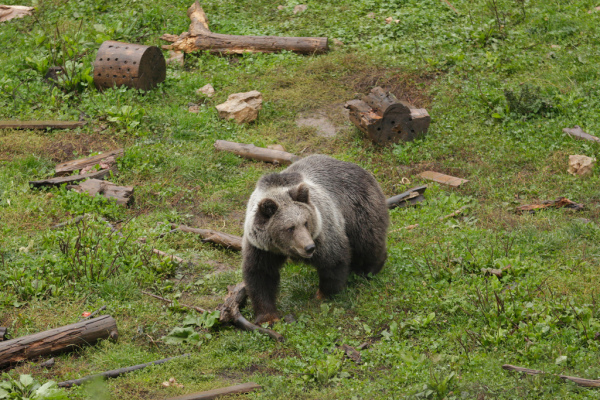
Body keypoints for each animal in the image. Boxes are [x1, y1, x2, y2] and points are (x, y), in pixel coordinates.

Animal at [243, 154, 390, 324]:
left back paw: (369, 270)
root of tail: (365, 171)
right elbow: (260, 275)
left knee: (367, 243)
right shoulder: (261, 248)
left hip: (358, 210)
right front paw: (268, 316)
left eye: (306, 222)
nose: (309, 247)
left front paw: (323, 294)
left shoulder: (322, 231)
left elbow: (333, 259)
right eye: (290, 228)